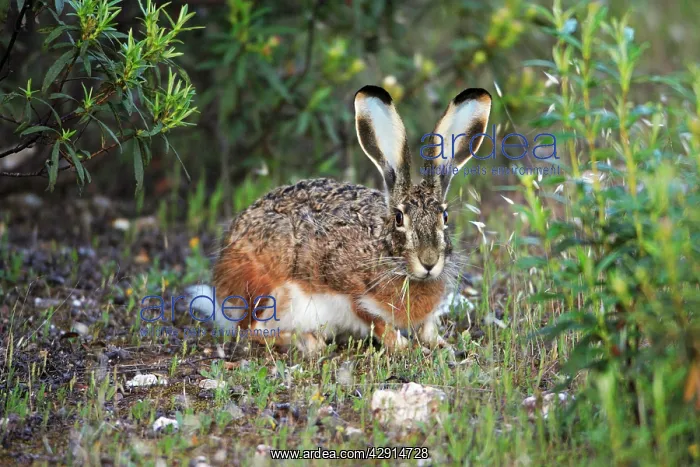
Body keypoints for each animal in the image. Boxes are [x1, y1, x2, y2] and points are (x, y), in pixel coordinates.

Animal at [208, 85, 492, 353]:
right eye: (399, 218)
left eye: (444, 216)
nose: (429, 262)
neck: (387, 253)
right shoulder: (350, 291)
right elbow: (376, 321)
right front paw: (404, 346)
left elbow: (428, 327)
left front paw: (441, 344)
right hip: (268, 289)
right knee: (252, 330)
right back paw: (309, 342)